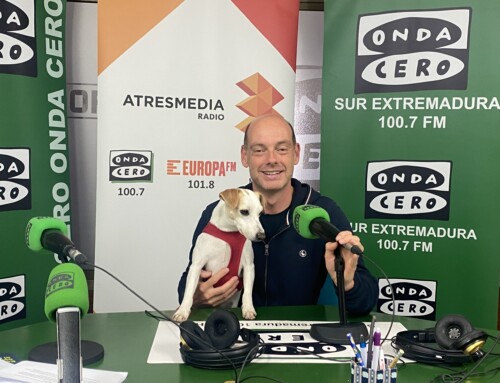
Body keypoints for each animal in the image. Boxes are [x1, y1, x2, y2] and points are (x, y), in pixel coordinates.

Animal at [172, 188, 266, 322]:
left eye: (260, 214)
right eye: (244, 212)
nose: (262, 236)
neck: (229, 231)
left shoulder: (249, 266)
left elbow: (247, 292)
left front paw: (248, 308)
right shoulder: (196, 266)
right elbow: (189, 291)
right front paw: (183, 311)